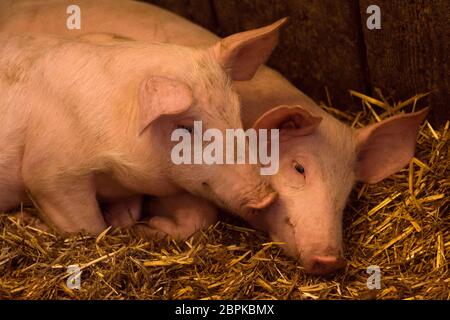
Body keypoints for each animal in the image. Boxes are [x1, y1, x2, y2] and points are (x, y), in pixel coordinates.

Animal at [0, 21, 288, 235]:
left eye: (235, 113)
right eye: (185, 129)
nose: (267, 197)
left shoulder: (169, 177)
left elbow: (199, 216)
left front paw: (146, 227)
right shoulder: (50, 173)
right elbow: (90, 228)